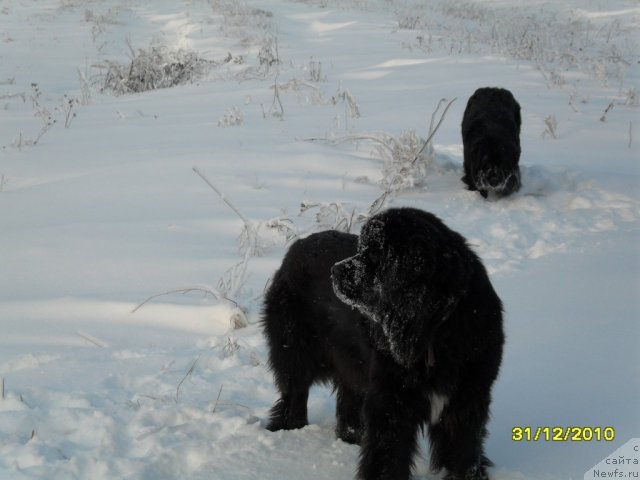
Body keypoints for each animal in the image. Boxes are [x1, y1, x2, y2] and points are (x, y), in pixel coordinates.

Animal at [262, 207, 502, 480]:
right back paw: (288, 429)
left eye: (376, 253)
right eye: (361, 248)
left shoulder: (468, 396)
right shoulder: (391, 398)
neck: (434, 328)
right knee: (294, 393)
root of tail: (297, 246)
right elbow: (388, 453)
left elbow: (464, 449)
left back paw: (351, 437)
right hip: (295, 350)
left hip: (351, 362)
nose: (334, 271)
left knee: (348, 401)